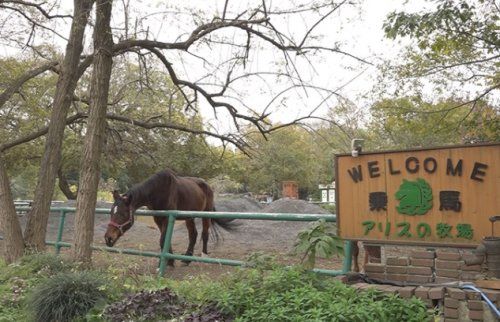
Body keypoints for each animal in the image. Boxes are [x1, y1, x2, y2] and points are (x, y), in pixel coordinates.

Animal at [104, 169, 233, 266]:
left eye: (123, 214)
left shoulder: (167, 217)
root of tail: (207, 185)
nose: (108, 238)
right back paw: (187, 258)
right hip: (189, 217)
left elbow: (163, 240)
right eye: (111, 212)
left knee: (205, 233)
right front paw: (170, 260)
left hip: (206, 213)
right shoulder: (158, 218)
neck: (158, 191)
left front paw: (164, 263)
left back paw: (203, 255)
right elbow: (165, 239)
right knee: (193, 235)